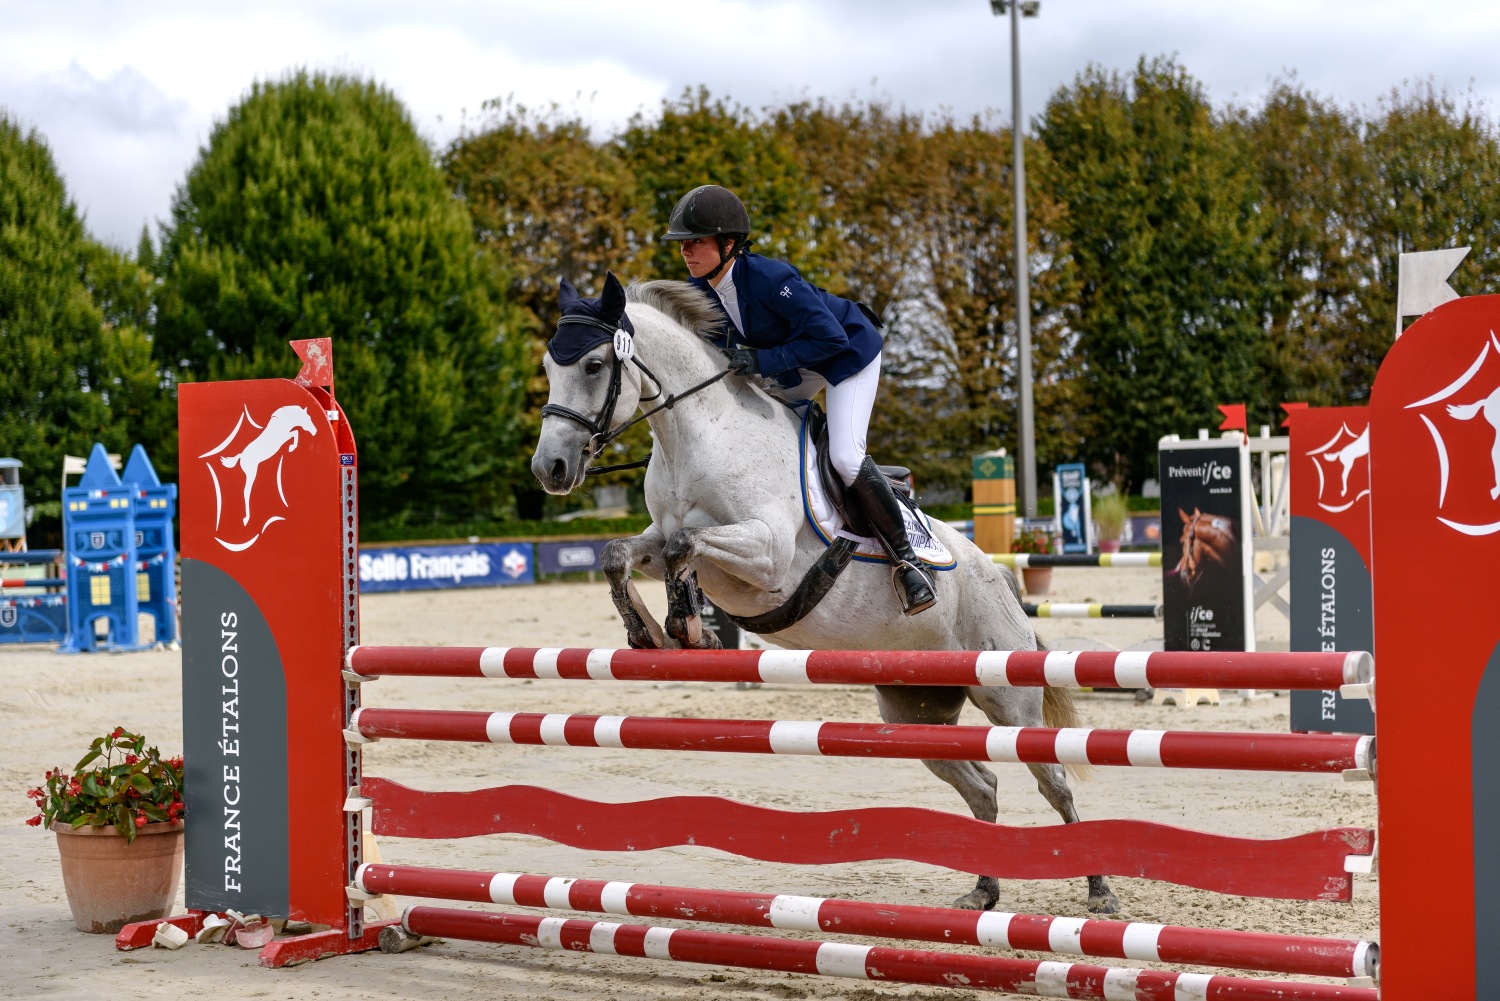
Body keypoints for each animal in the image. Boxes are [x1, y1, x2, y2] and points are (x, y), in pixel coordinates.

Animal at [530, 273, 1120, 915]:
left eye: (592, 365)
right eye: (548, 366)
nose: (549, 468)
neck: (699, 433)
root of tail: (1004, 581)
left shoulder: (766, 555)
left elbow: (687, 545)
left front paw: (688, 626)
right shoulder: (659, 537)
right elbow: (623, 552)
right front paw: (654, 630)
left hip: (1008, 698)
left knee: (1053, 781)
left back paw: (1099, 890)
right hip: (915, 713)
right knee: (981, 785)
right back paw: (983, 890)